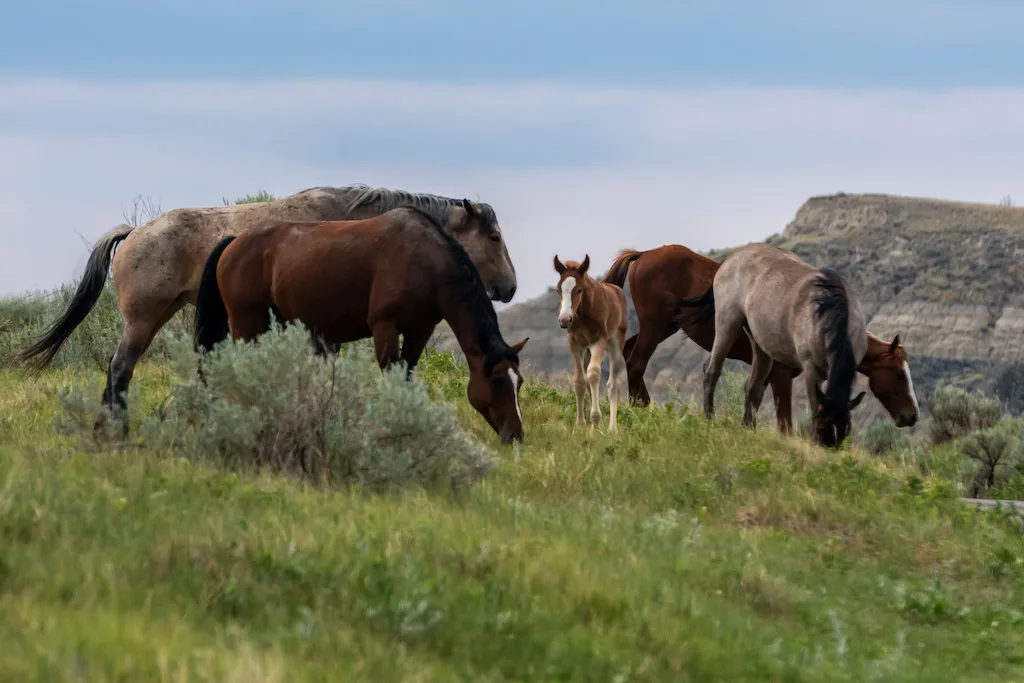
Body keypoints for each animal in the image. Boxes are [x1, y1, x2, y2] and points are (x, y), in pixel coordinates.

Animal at [192, 205, 532, 446]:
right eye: (497, 380)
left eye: (519, 383)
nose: (515, 435)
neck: (426, 263)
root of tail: (234, 242)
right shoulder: (385, 328)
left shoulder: (419, 331)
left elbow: (405, 375)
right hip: (247, 324)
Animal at [552, 255, 630, 432]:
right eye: (558, 290)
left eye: (579, 290)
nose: (564, 320)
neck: (583, 315)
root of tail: (616, 290)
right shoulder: (575, 343)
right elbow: (579, 380)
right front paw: (580, 424)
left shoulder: (598, 341)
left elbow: (594, 374)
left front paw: (594, 425)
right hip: (587, 350)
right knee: (587, 378)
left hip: (615, 342)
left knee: (612, 385)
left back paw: (612, 429)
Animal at [602, 244, 925, 432]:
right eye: (898, 374)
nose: (912, 416)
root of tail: (645, 254)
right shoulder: (782, 377)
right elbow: (785, 423)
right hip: (656, 327)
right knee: (637, 362)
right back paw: (639, 408)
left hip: (660, 327)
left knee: (629, 355)